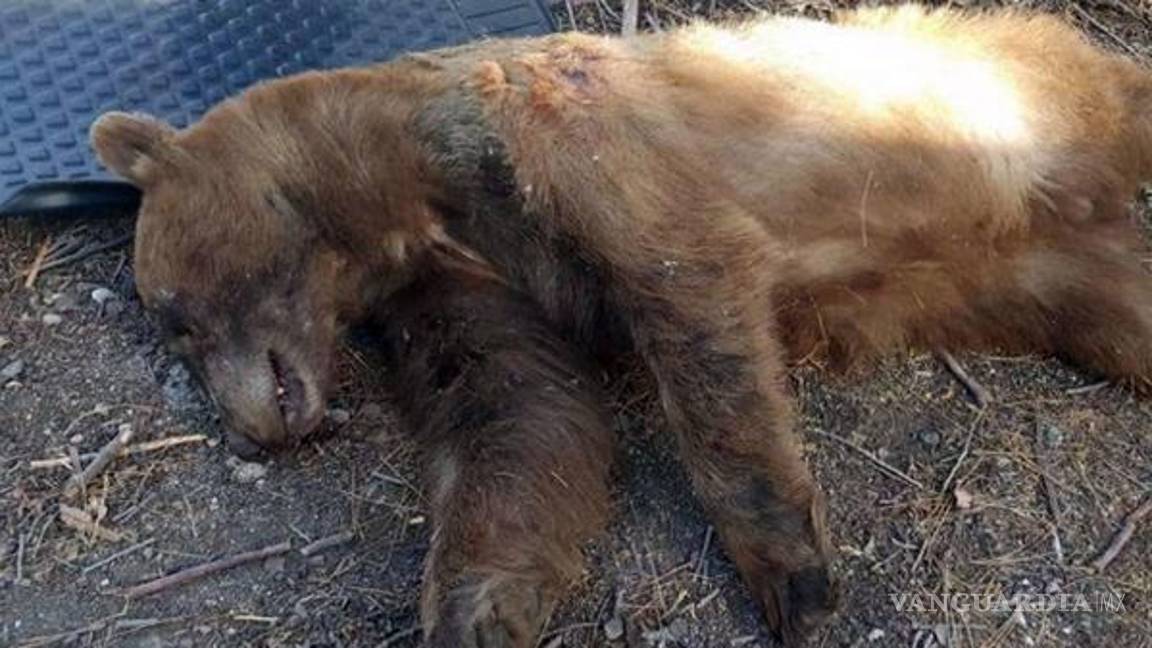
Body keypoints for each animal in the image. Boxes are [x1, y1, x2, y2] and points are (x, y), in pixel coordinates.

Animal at [89, 5, 1152, 646]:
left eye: (177, 316)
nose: (250, 428)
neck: (398, 197)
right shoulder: (465, 276)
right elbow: (521, 412)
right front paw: (477, 607)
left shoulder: (565, 140)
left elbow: (688, 291)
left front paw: (795, 578)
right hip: (1049, 279)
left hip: (1012, 94)